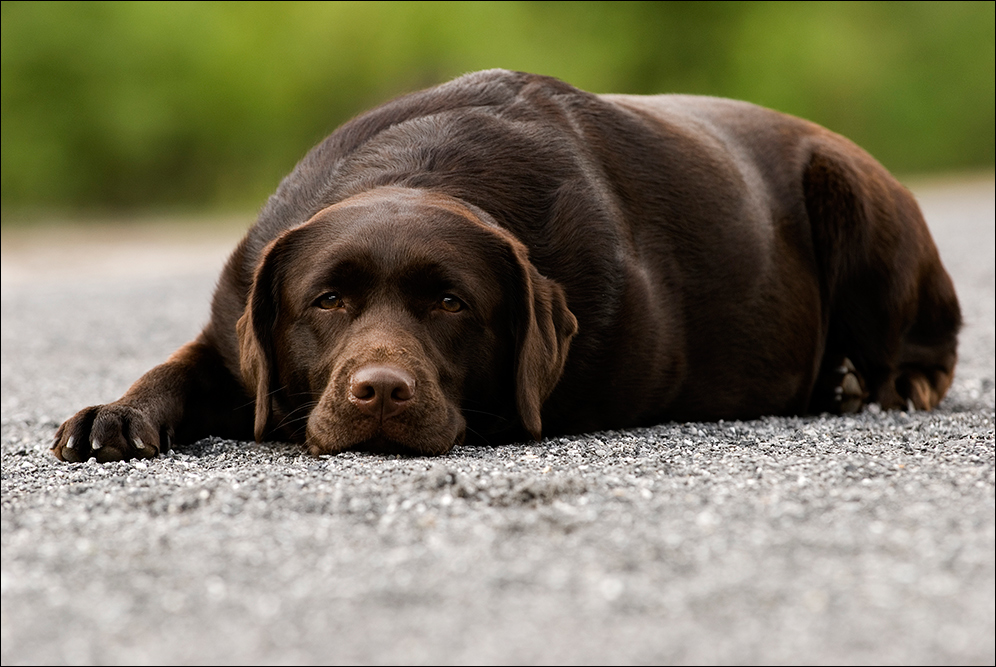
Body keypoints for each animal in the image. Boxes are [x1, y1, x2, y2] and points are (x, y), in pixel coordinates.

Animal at [50, 69, 960, 464]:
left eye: (452, 303)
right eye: (328, 299)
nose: (380, 391)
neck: (418, 173)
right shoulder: (235, 322)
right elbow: (174, 367)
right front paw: (114, 412)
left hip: (856, 194)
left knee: (924, 344)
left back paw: (879, 381)